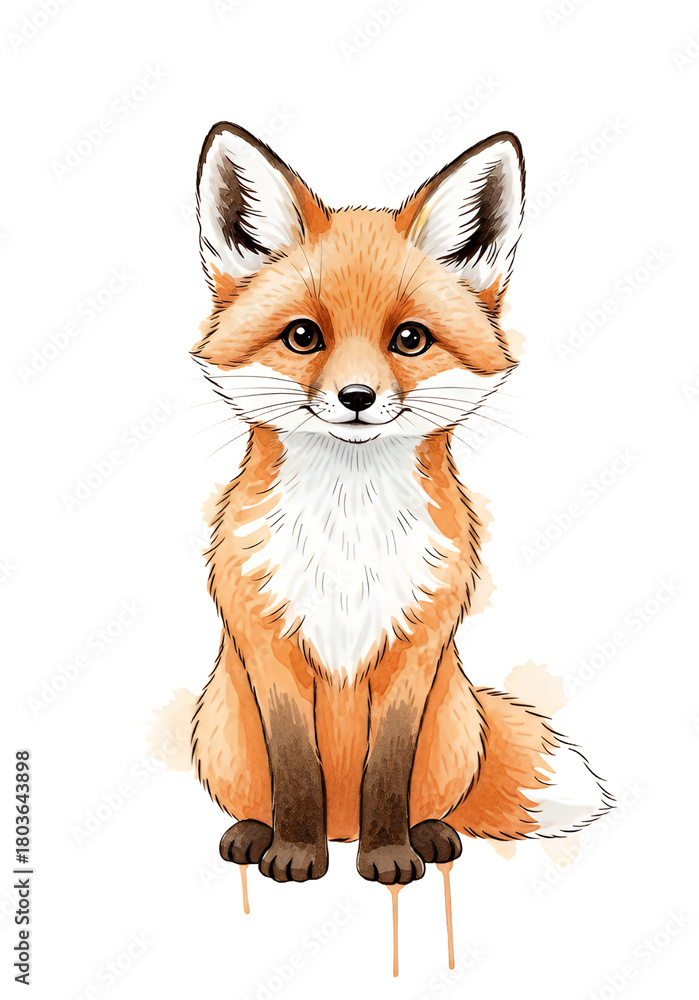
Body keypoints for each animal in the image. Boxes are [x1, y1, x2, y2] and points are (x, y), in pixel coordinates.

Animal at [190, 122, 613, 885]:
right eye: (304, 336)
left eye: (409, 339)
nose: (356, 398)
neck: (347, 537)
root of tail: (343, 828)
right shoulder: (269, 649)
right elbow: (296, 772)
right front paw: (294, 855)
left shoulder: (415, 652)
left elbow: (388, 770)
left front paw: (389, 857)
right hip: (220, 730)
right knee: (260, 797)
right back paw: (256, 835)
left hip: (455, 728)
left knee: (432, 800)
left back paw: (428, 835)